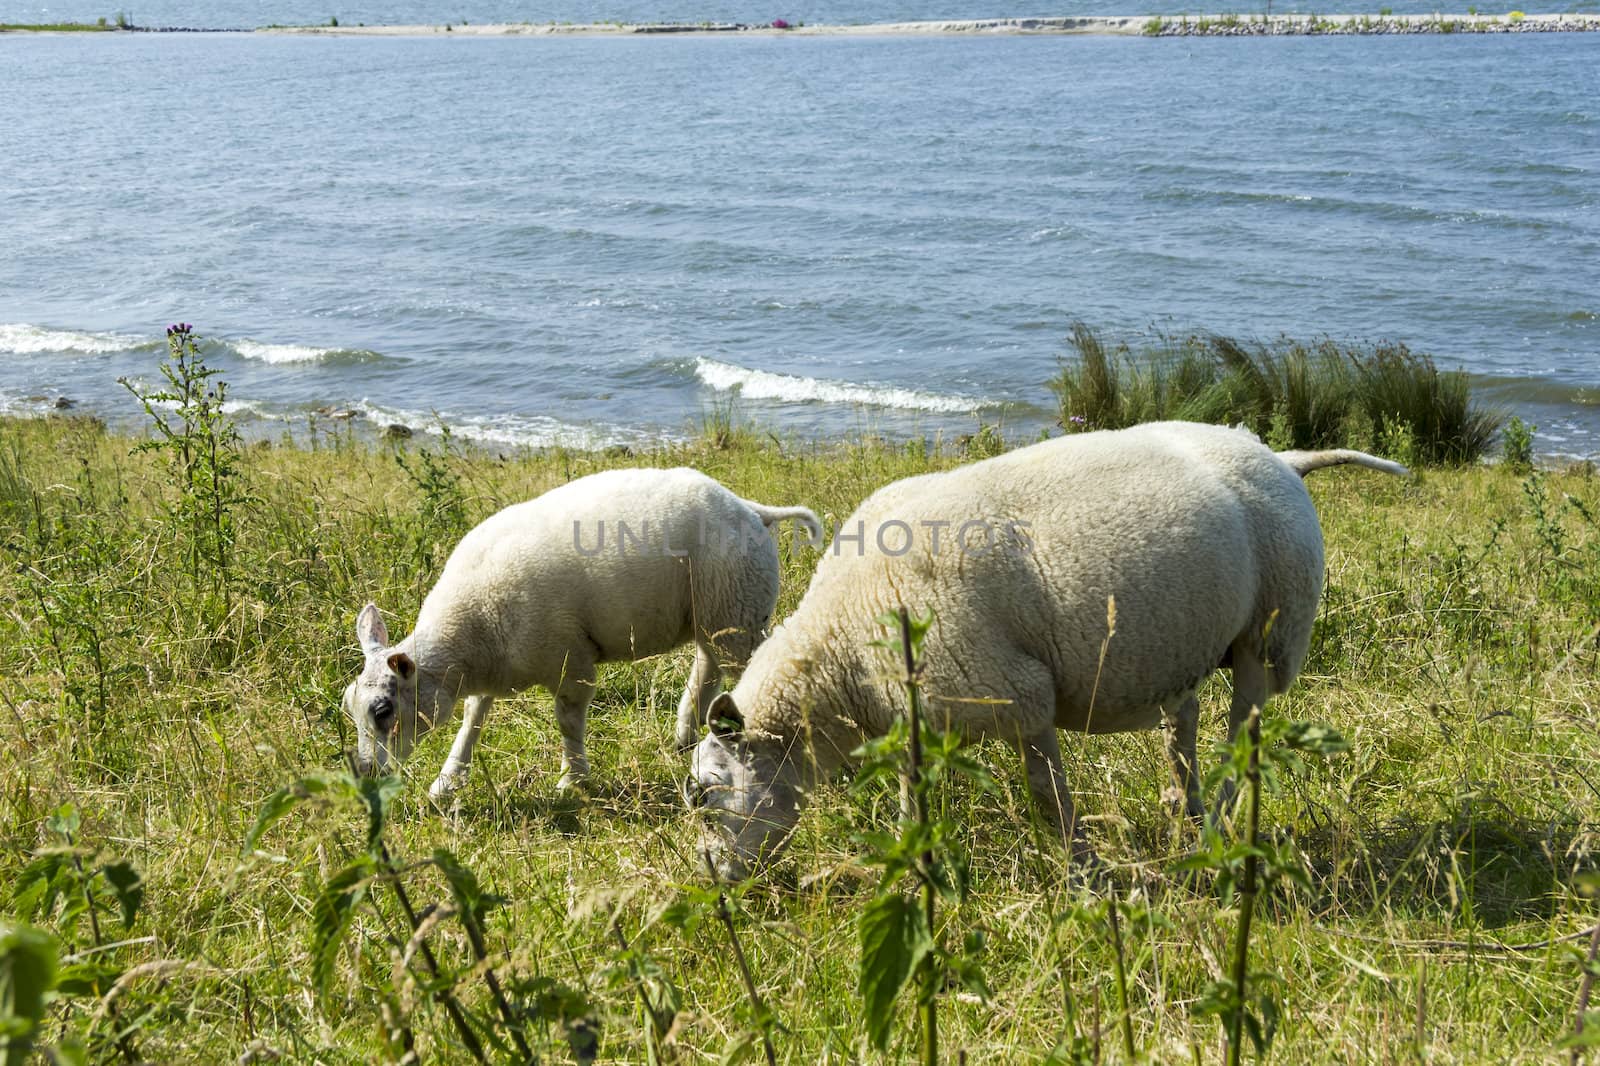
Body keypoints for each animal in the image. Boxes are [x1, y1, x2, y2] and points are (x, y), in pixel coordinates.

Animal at [347, 464, 825, 797]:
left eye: (383, 711)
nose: (366, 774)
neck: (467, 634)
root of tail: (750, 509)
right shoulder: (491, 669)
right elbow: (473, 720)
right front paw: (447, 782)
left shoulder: (569, 661)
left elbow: (568, 723)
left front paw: (571, 781)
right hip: (715, 613)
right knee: (708, 667)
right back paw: (687, 734)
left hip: (738, 608)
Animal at [688, 419, 1401, 877]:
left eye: (705, 794)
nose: (711, 876)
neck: (842, 645)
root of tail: (1278, 454)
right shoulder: (920, 716)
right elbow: (913, 797)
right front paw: (908, 860)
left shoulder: (1017, 692)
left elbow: (1046, 792)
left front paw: (1084, 870)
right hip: (1187, 637)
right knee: (1185, 725)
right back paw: (1183, 810)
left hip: (1271, 633)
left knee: (1243, 736)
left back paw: (1215, 830)